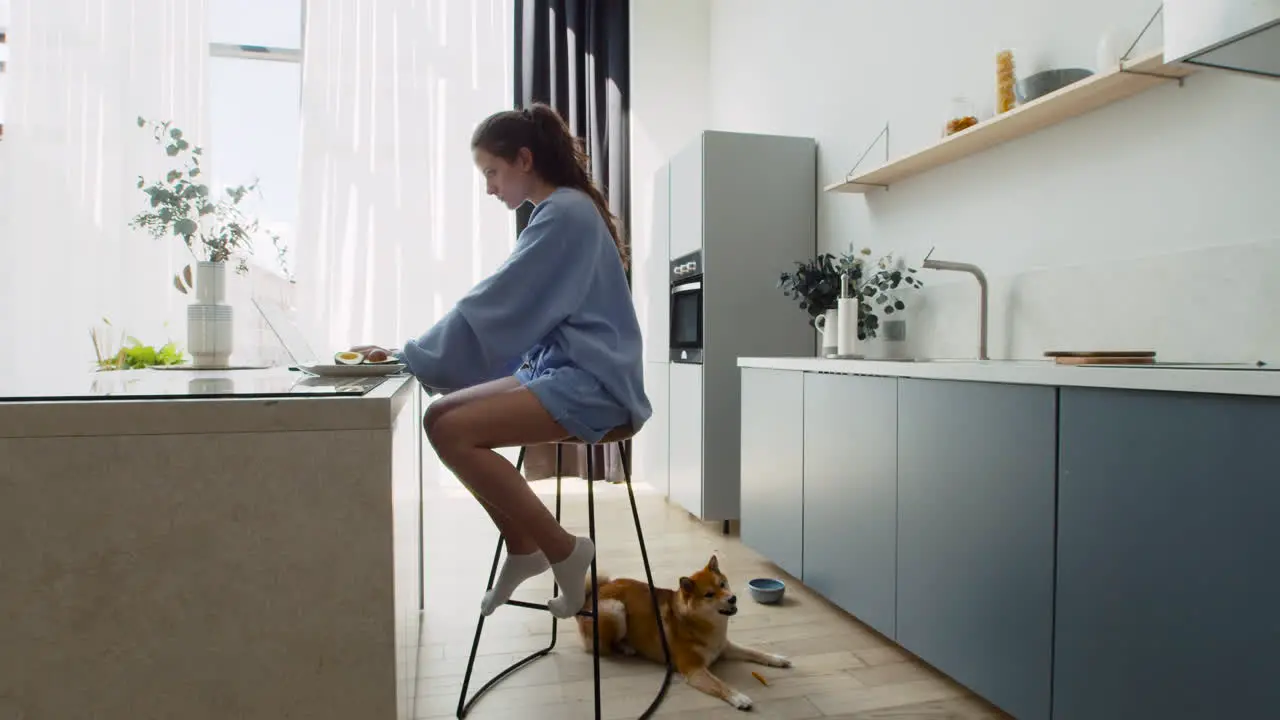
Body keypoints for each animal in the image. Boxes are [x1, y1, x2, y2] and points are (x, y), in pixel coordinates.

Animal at [573, 556, 788, 707]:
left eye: (722, 584)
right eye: (709, 595)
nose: (732, 598)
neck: (704, 626)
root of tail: (589, 598)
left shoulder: (725, 647)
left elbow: (755, 652)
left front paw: (777, 659)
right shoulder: (694, 670)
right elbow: (720, 684)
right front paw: (739, 697)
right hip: (616, 609)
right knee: (601, 648)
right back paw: (626, 647)